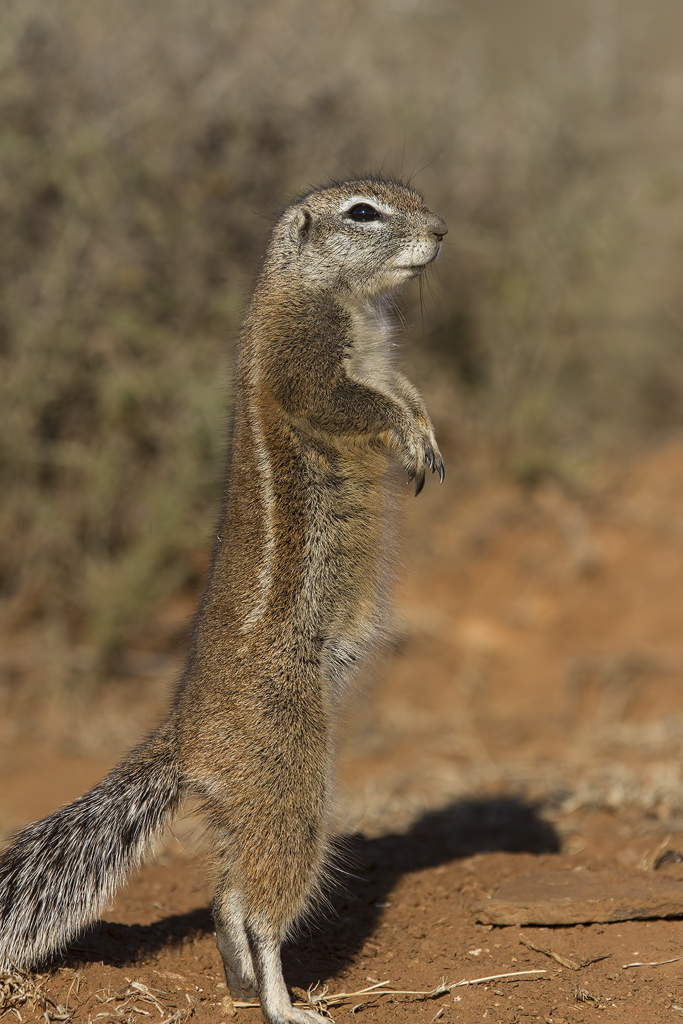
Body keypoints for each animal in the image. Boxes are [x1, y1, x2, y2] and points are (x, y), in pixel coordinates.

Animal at [0, 178, 448, 1024]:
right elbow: (356, 404)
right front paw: (410, 437)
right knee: (257, 900)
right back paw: (280, 1001)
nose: (441, 231)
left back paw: (239, 980)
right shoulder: (306, 362)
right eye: (363, 212)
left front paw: (427, 434)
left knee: (225, 894)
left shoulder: (384, 360)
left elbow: (404, 392)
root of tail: (183, 733)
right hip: (287, 769)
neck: (322, 291)